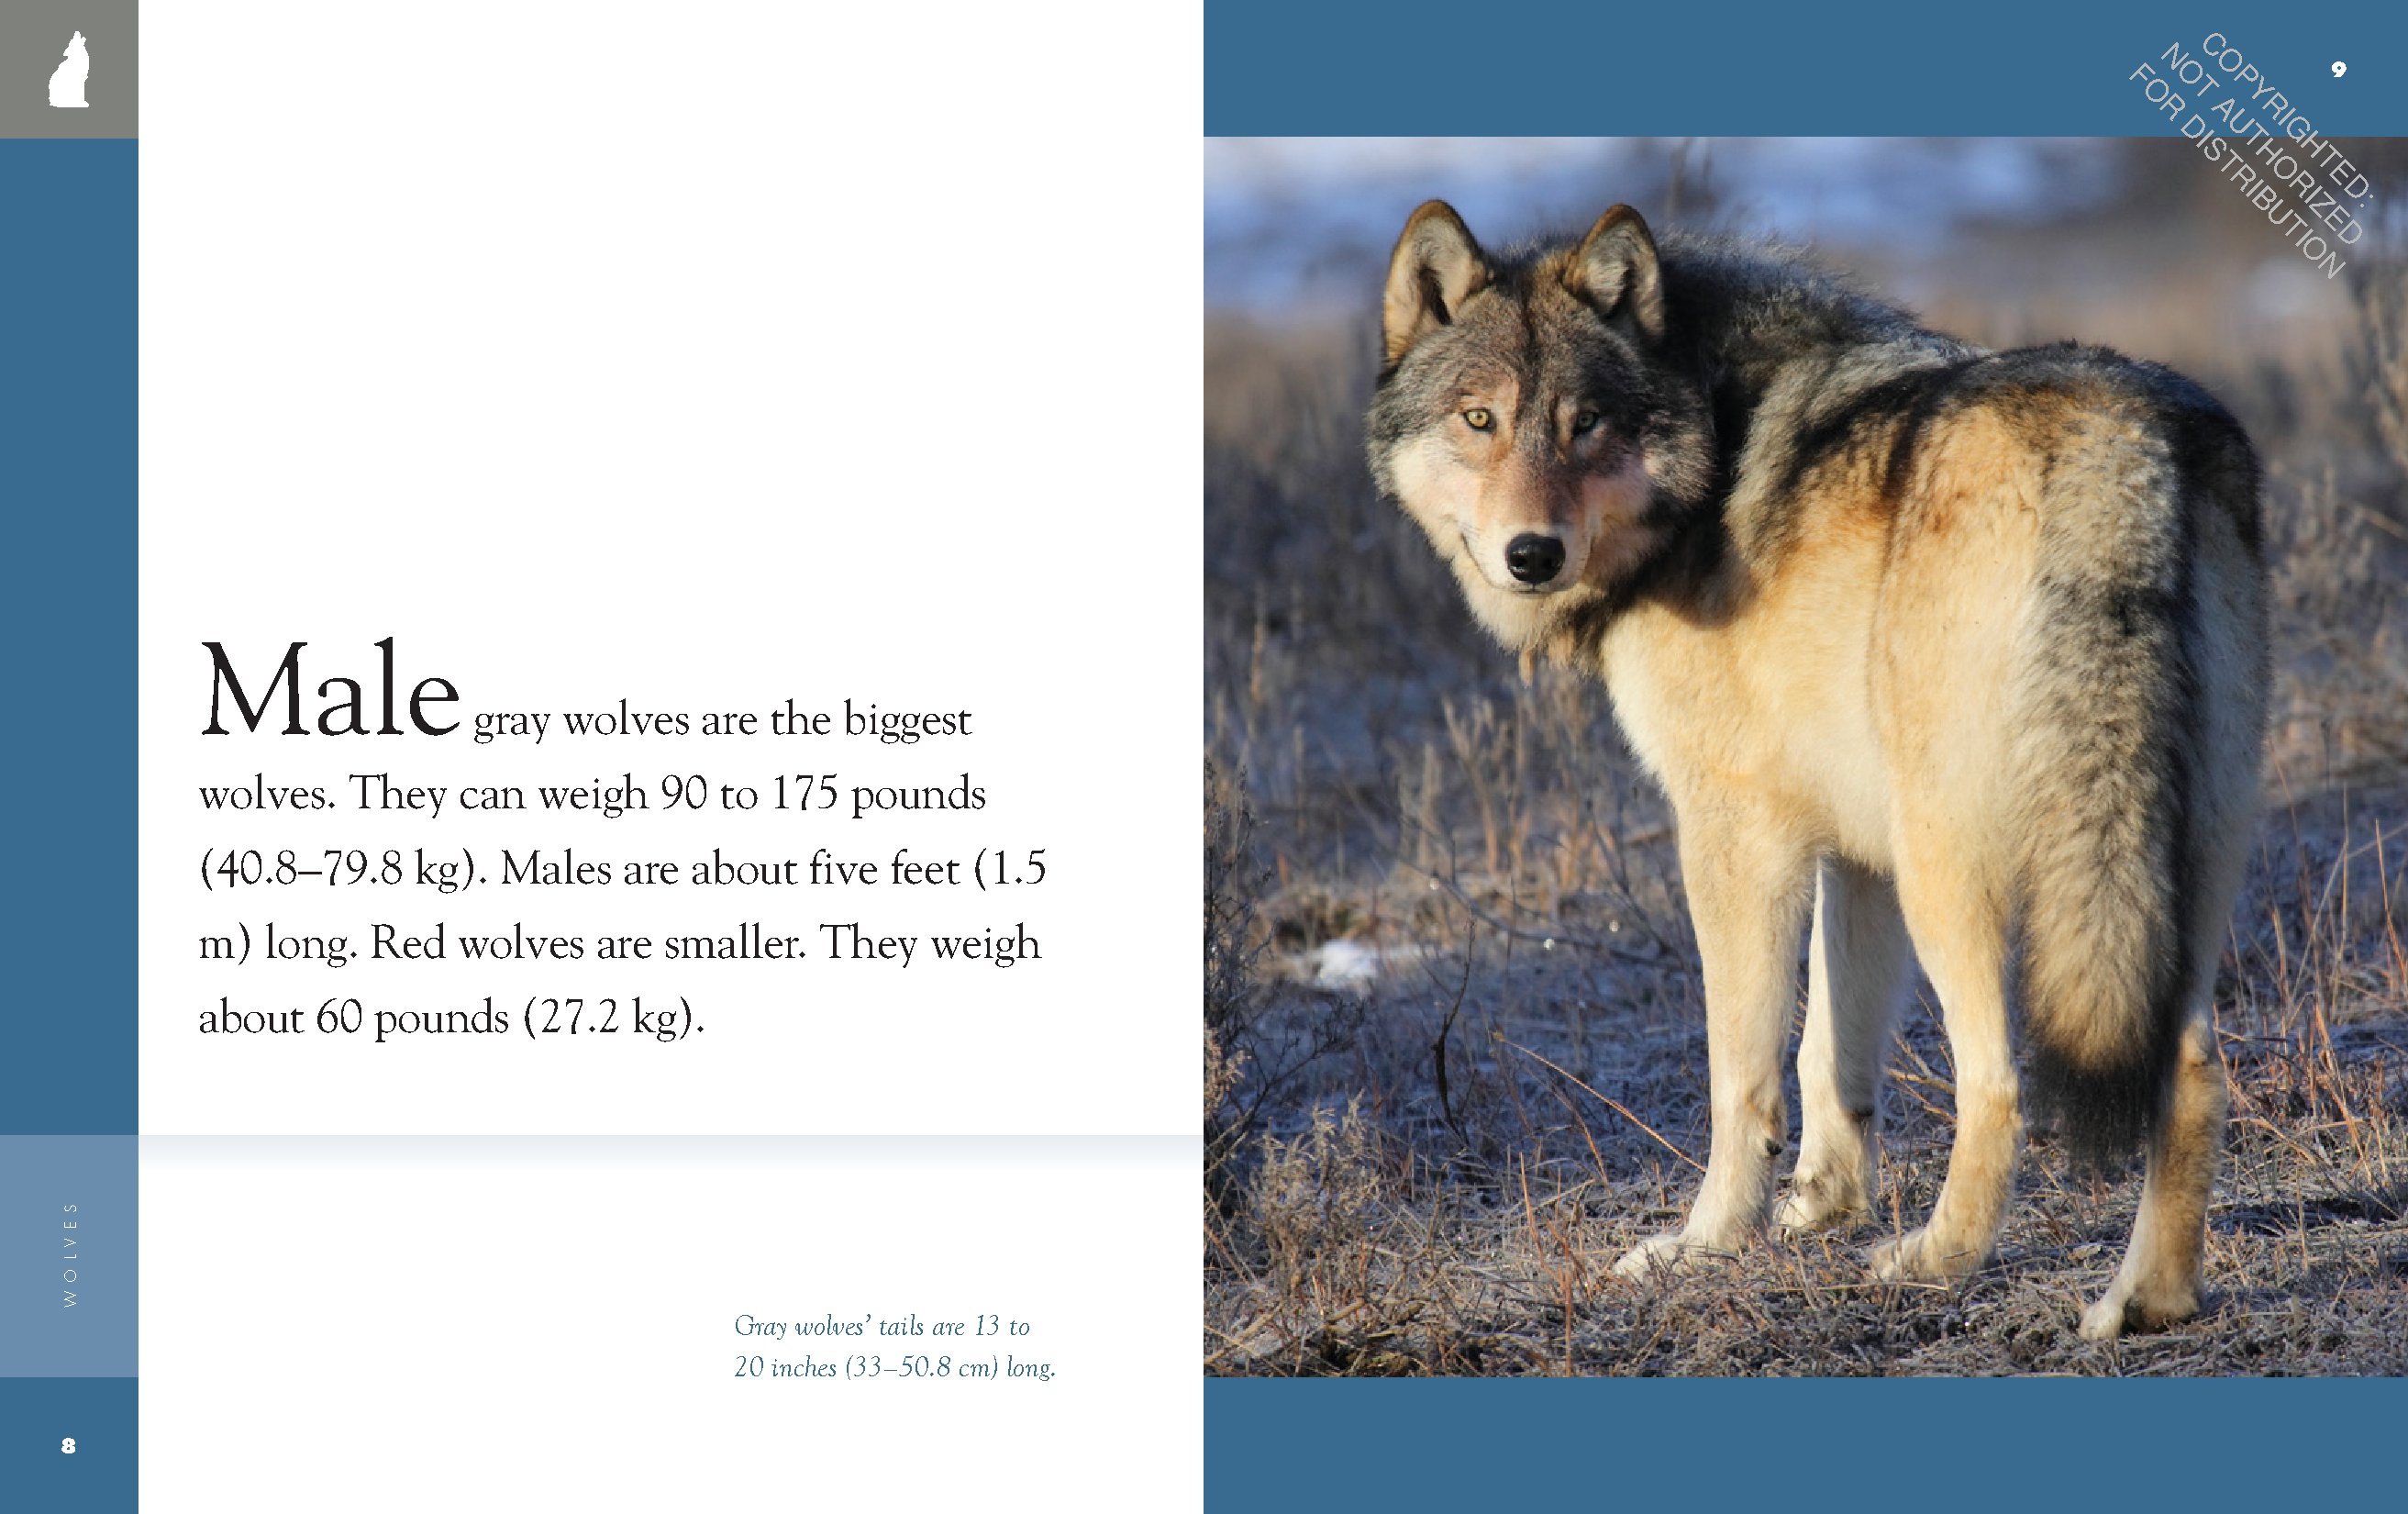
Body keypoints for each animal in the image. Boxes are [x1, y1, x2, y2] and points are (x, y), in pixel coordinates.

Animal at [1365, 200, 2268, 1338]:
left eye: (1587, 423)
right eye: (1480, 420)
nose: (1533, 554)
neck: (1712, 432)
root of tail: (2118, 446)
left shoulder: (1732, 831)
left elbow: (1743, 1070)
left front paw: (1707, 1243)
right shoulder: (1850, 846)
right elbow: (1831, 1054)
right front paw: (1818, 1211)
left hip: (1951, 872)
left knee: (1998, 1081)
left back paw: (1930, 1261)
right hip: (2171, 874)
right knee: (2189, 1069)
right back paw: (2146, 1303)